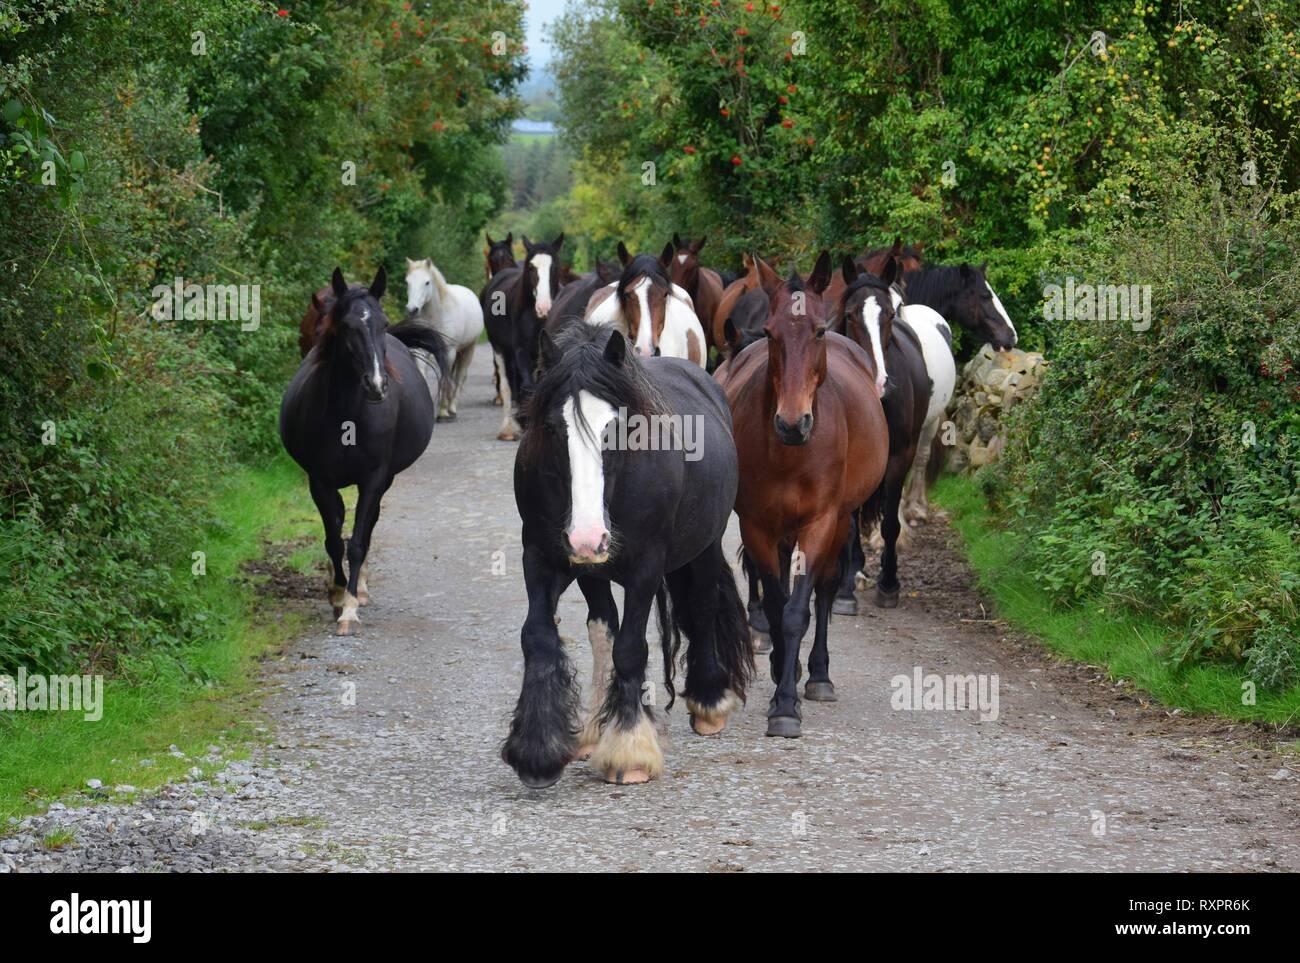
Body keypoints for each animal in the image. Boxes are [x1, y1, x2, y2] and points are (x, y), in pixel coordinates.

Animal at [279, 266, 447, 634]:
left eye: (382, 323)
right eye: (345, 326)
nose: (376, 385)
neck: (348, 420)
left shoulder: (373, 478)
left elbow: (357, 542)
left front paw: (350, 607)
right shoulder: (320, 480)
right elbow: (333, 537)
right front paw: (337, 593)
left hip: (384, 480)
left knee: (368, 526)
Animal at [403, 257, 486, 418]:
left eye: (427, 282)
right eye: (407, 282)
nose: (412, 309)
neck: (437, 316)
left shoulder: (448, 352)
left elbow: (445, 379)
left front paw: (442, 412)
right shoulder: (422, 350)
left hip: (468, 349)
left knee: (459, 378)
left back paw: (452, 407)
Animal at [504, 323, 759, 790]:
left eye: (616, 428)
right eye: (552, 427)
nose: (587, 537)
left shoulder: (645, 568)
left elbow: (631, 649)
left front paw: (629, 751)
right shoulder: (543, 557)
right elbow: (540, 636)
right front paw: (537, 752)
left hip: (704, 546)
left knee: (702, 607)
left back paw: (709, 701)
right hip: (593, 571)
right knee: (602, 627)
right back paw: (595, 730)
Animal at [712, 249, 894, 738]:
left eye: (818, 330)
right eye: (770, 333)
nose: (793, 423)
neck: (792, 452)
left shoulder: (821, 522)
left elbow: (798, 612)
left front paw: (788, 705)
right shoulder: (757, 524)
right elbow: (777, 607)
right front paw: (781, 682)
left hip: (840, 521)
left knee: (827, 590)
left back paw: (818, 675)